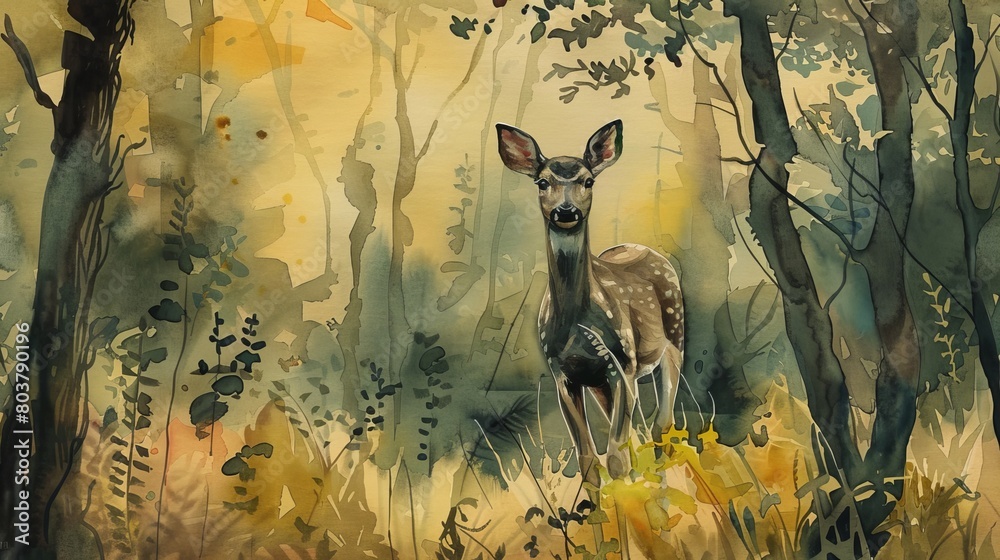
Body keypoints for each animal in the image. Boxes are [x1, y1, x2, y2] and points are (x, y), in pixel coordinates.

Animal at [496, 120, 684, 487]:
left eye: (588, 180)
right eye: (542, 182)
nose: (566, 211)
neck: (575, 323)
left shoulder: (621, 362)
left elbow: (617, 459)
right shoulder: (563, 373)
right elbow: (588, 462)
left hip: (673, 339)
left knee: (661, 426)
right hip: (603, 383)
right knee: (643, 431)